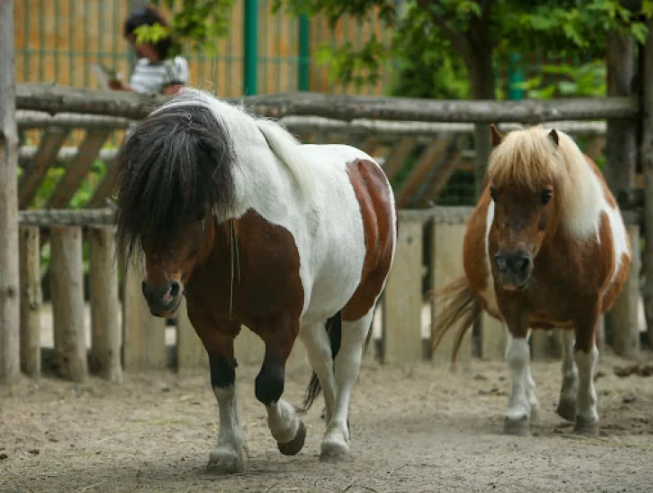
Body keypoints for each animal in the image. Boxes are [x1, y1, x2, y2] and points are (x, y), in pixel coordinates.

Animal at [114, 87, 394, 468]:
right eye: (142, 210)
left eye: (199, 212)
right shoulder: (210, 323)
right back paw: (335, 425)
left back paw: (335, 438)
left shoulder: (283, 323)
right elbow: (223, 382)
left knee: (347, 362)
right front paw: (227, 450)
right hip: (313, 315)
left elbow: (268, 384)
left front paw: (291, 431)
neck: (246, 235)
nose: (161, 294)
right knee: (324, 362)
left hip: (363, 300)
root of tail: (368, 168)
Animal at [432, 125, 632, 436]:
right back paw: (533, 404)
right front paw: (517, 415)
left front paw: (587, 416)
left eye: (546, 194)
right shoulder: (512, 302)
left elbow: (586, 356)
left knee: (570, 344)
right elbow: (517, 354)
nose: (512, 264)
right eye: (495, 192)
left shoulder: (589, 305)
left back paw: (569, 401)